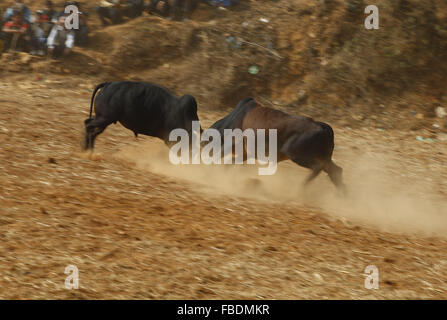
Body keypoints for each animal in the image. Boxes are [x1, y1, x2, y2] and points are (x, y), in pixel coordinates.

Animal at [211, 97, 350, 192]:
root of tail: (323, 127)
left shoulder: (233, 144)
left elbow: (219, 158)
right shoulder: (246, 153)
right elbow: (228, 164)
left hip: (297, 155)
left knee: (318, 168)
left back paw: (300, 189)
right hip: (323, 158)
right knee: (336, 171)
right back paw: (343, 196)